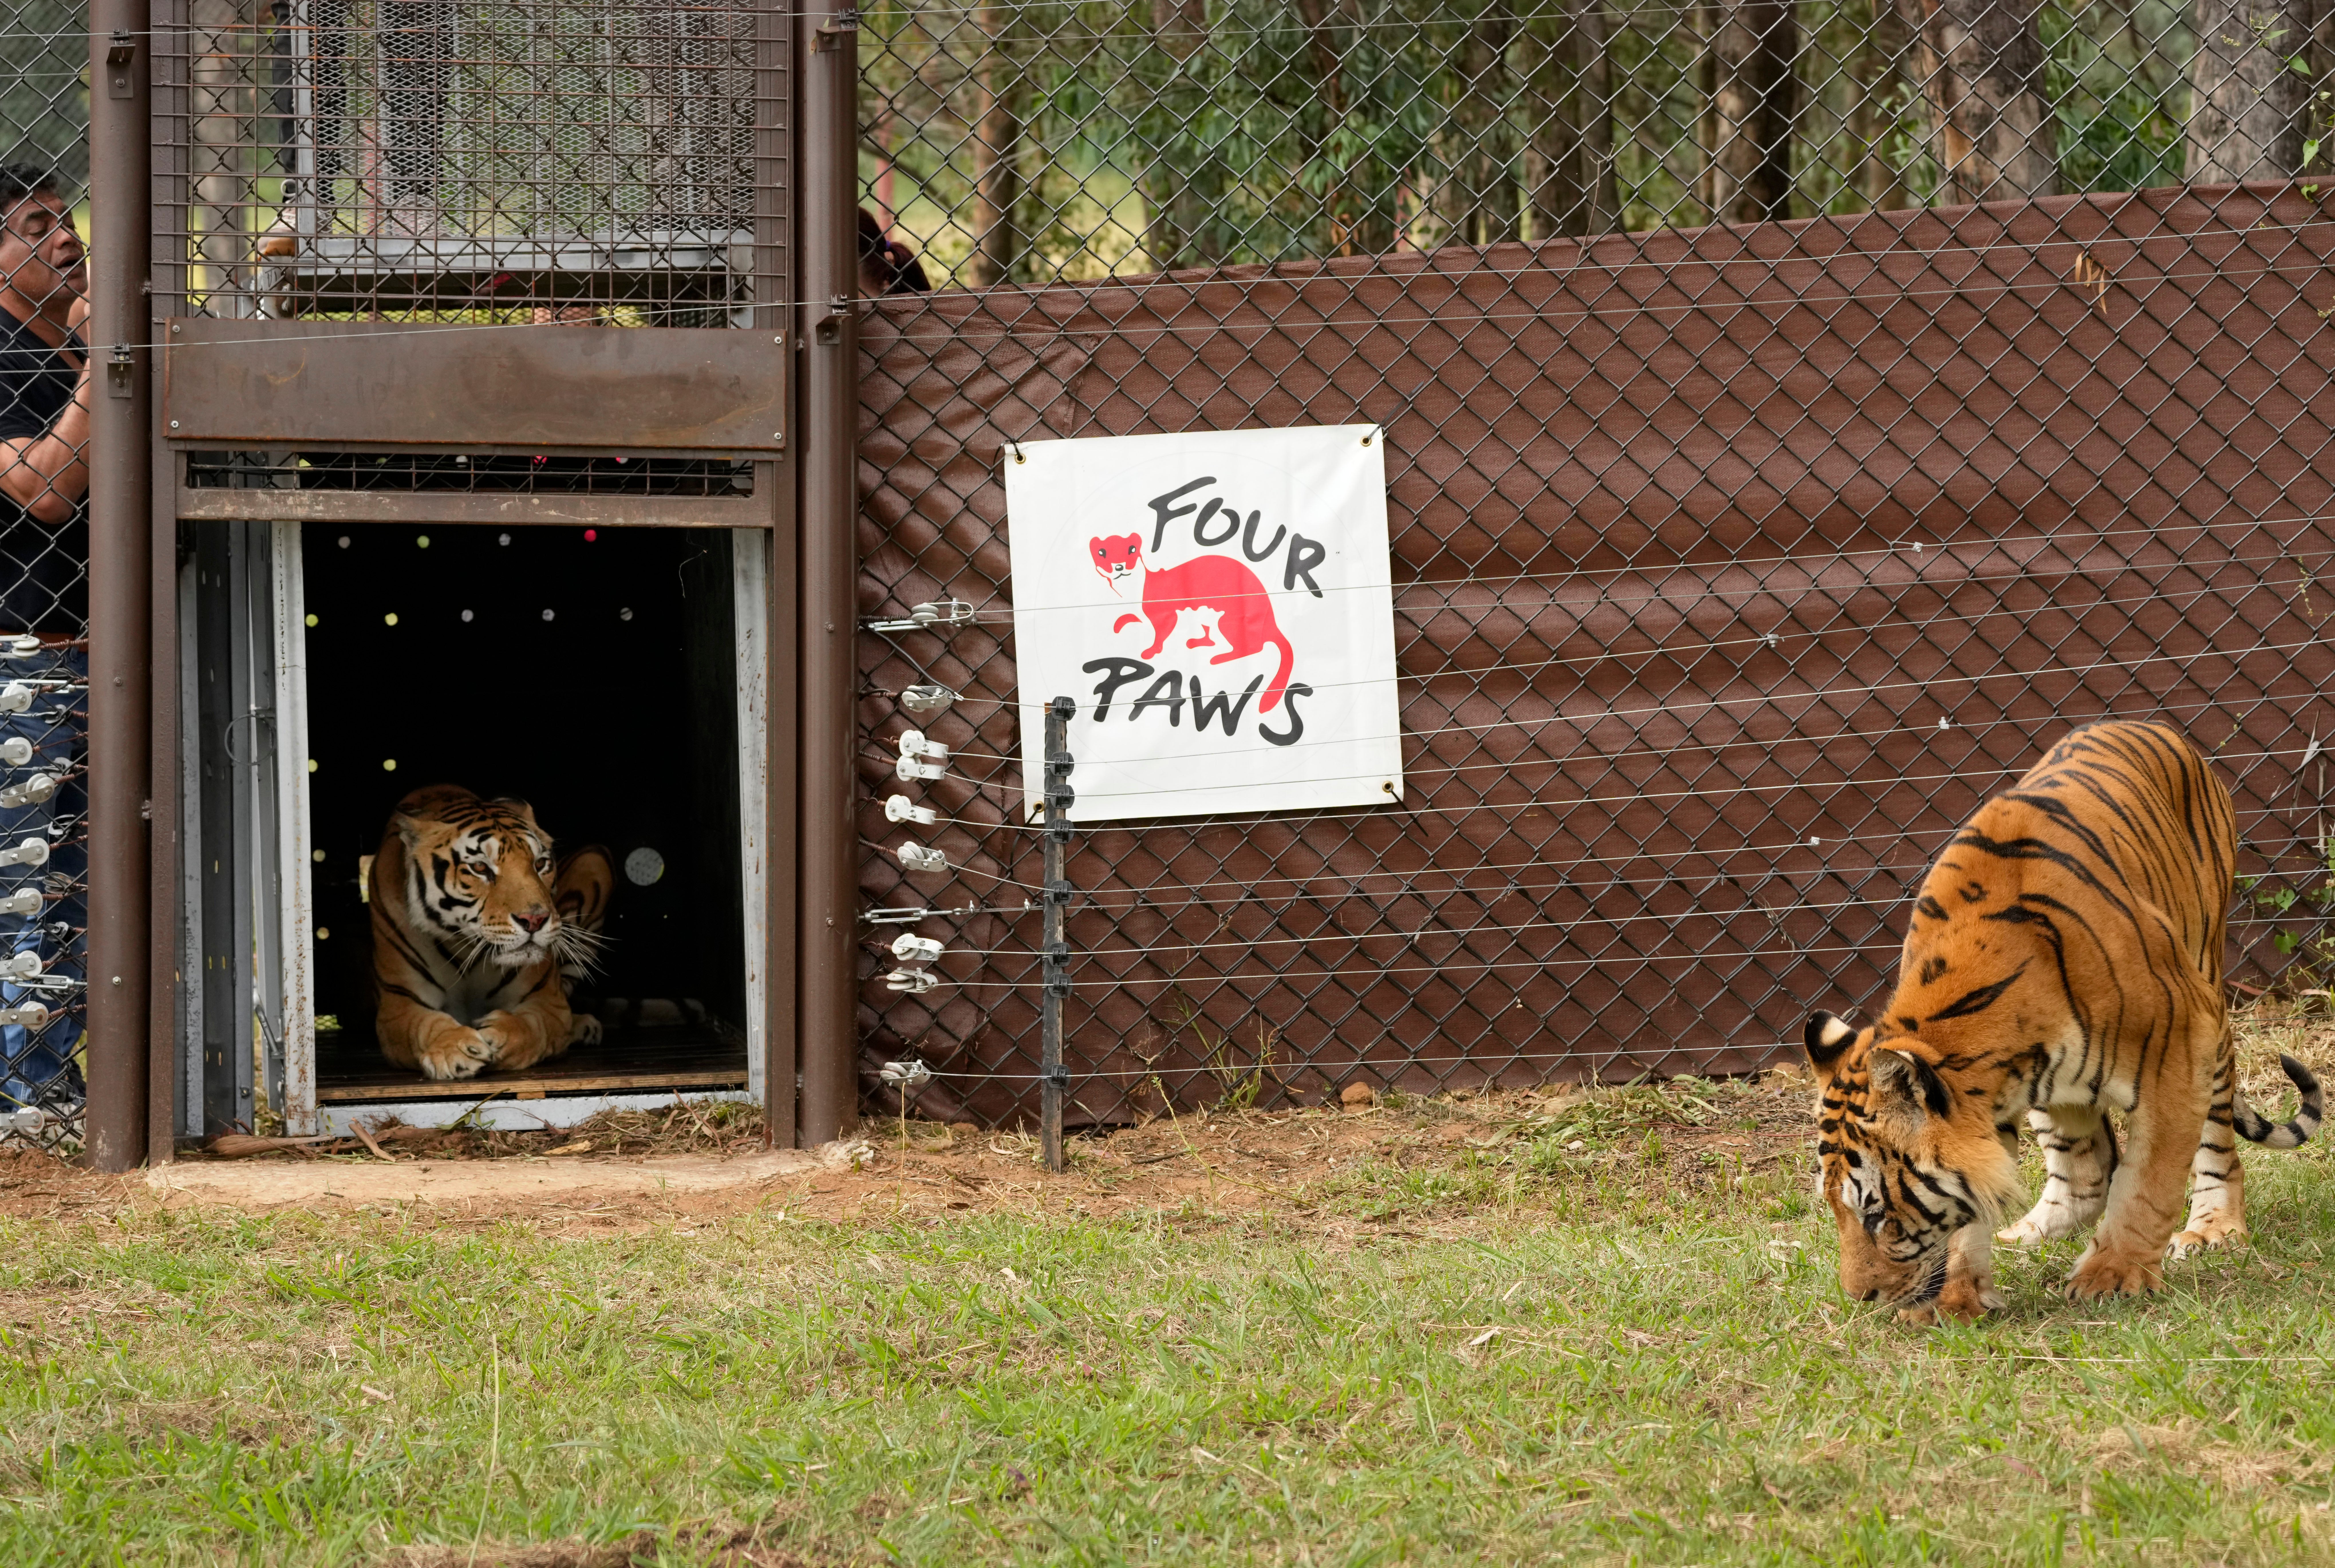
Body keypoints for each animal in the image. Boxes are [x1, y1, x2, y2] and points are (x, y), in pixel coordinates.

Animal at [368, 785, 614, 1081]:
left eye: (541, 863)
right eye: (480, 868)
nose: (535, 920)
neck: (464, 947)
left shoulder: (547, 1001)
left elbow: (534, 1026)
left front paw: (498, 1035)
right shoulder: (398, 1004)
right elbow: (421, 1025)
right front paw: (455, 1049)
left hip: (594, 860)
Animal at [1803, 719, 2322, 1320]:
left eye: (1874, 1211)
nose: (1859, 1296)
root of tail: (2149, 724)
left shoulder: (2180, 1044)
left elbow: (2148, 1181)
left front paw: (2112, 1276)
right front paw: (1957, 1297)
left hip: (2209, 1001)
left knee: (2214, 1145)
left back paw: (2212, 1227)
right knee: (2086, 1169)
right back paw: (2027, 1231)